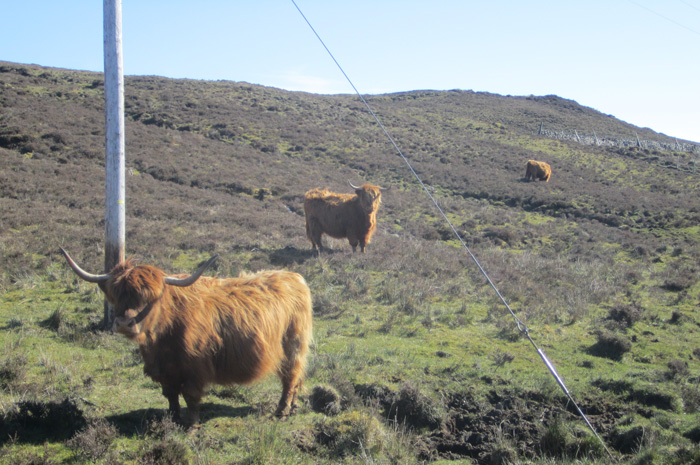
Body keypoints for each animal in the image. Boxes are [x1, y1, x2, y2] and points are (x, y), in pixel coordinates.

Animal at [60, 248, 312, 426]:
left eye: (150, 298)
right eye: (117, 295)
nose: (124, 323)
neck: (162, 339)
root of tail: (294, 276)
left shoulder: (195, 367)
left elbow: (190, 396)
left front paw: (191, 425)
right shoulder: (163, 370)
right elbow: (170, 395)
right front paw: (172, 420)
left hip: (293, 346)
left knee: (289, 379)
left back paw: (281, 411)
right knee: (296, 380)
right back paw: (293, 408)